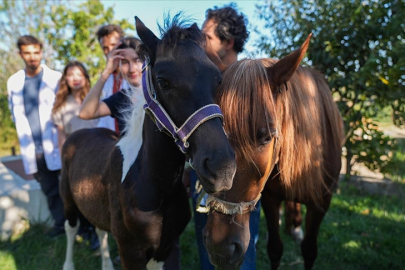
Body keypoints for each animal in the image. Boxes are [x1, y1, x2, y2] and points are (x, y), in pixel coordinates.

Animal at [61, 15, 235, 270]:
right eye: (163, 81)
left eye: (218, 80)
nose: (222, 168)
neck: (156, 186)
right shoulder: (130, 252)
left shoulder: (164, 248)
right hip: (68, 201)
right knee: (71, 229)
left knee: (99, 230)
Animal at [204, 34, 342, 268]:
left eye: (266, 138)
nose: (220, 248)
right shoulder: (269, 198)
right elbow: (275, 249)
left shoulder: (321, 203)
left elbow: (309, 250)